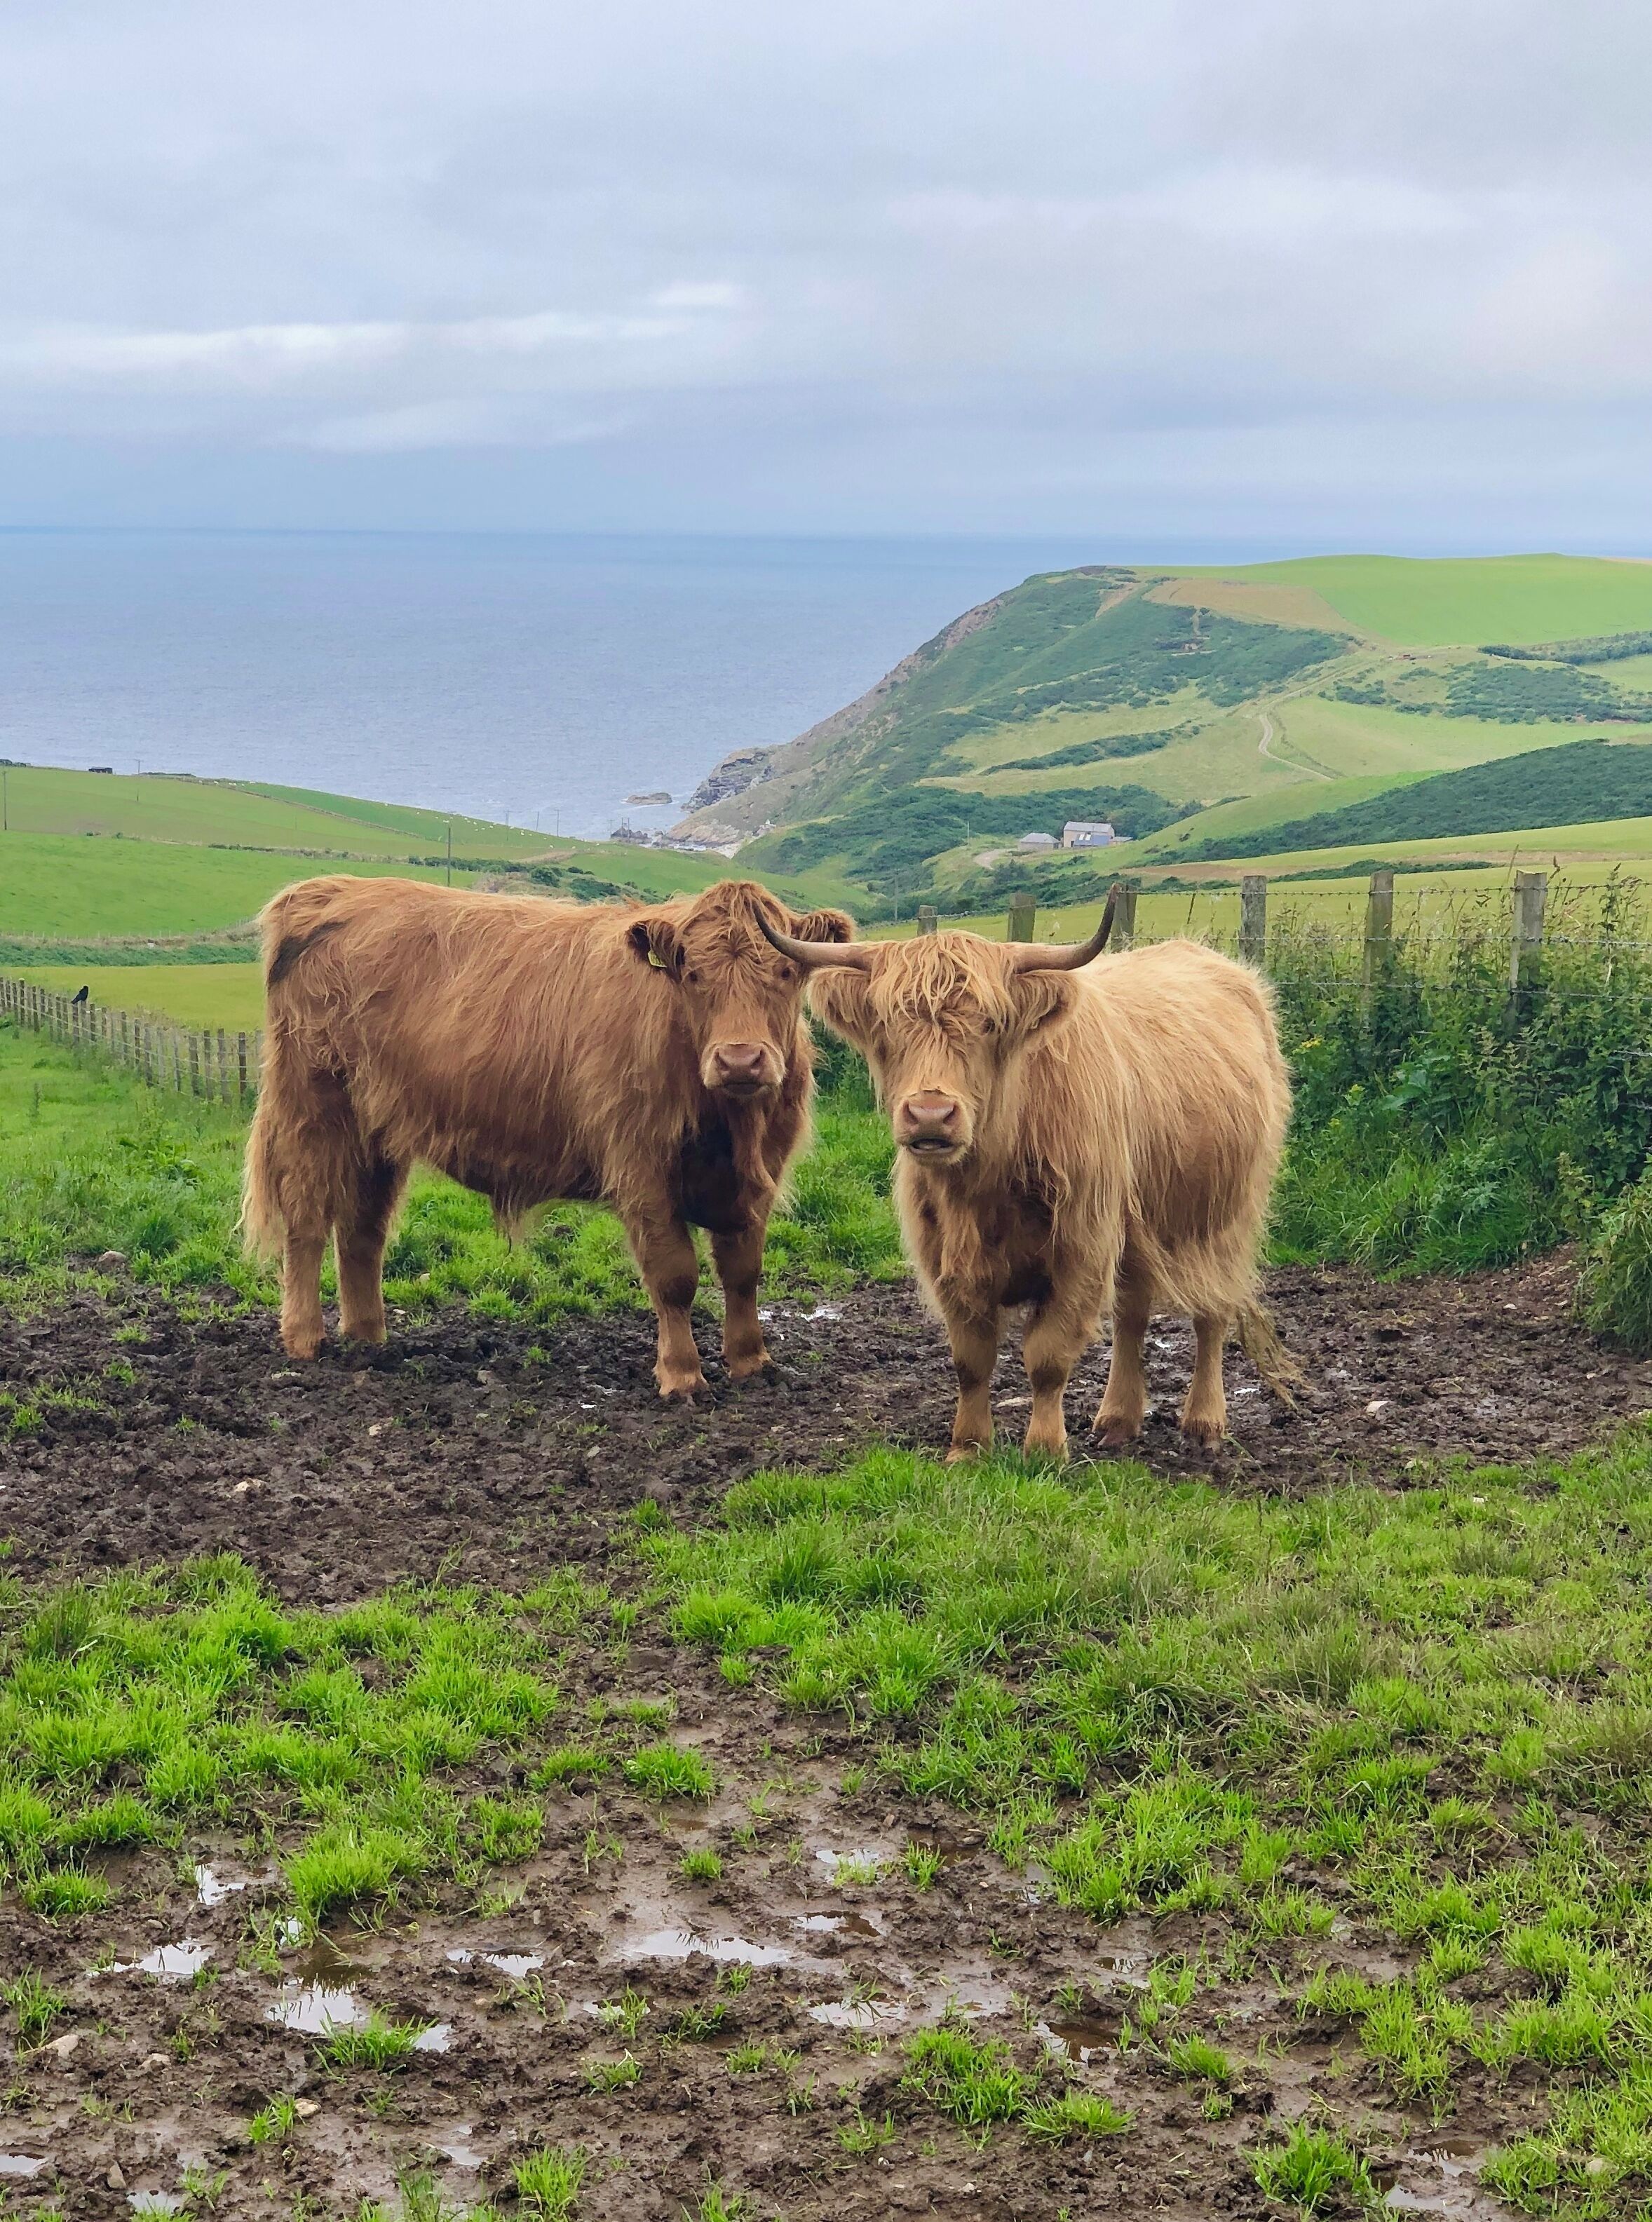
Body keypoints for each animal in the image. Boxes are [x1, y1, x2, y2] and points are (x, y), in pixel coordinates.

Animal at [241, 874, 853, 1396]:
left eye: (785, 974)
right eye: (694, 976)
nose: (740, 1060)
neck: (732, 1125)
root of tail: (326, 889)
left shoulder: (761, 1174)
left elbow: (744, 1269)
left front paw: (752, 1361)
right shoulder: (642, 1169)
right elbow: (675, 1275)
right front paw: (682, 1374)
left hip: (376, 1131)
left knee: (362, 1228)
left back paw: (369, 1337)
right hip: (313, 1110)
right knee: (307, 1219)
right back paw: (305, 1338)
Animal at [758, 894, 1292, 1462]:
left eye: (990, 1023)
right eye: (887, 1024)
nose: (930, 1114)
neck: (984, 1186)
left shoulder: (1081, 1246)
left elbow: (1048, 1357)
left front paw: (1045, 1449)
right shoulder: (945, 1255)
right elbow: (971, 1359)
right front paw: (968, 1446)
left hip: (1226, 1216)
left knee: (1213, 1310)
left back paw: (1205, 1422)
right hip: (1136, 1225)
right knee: (1132, 1311)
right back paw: (1118, 1419)